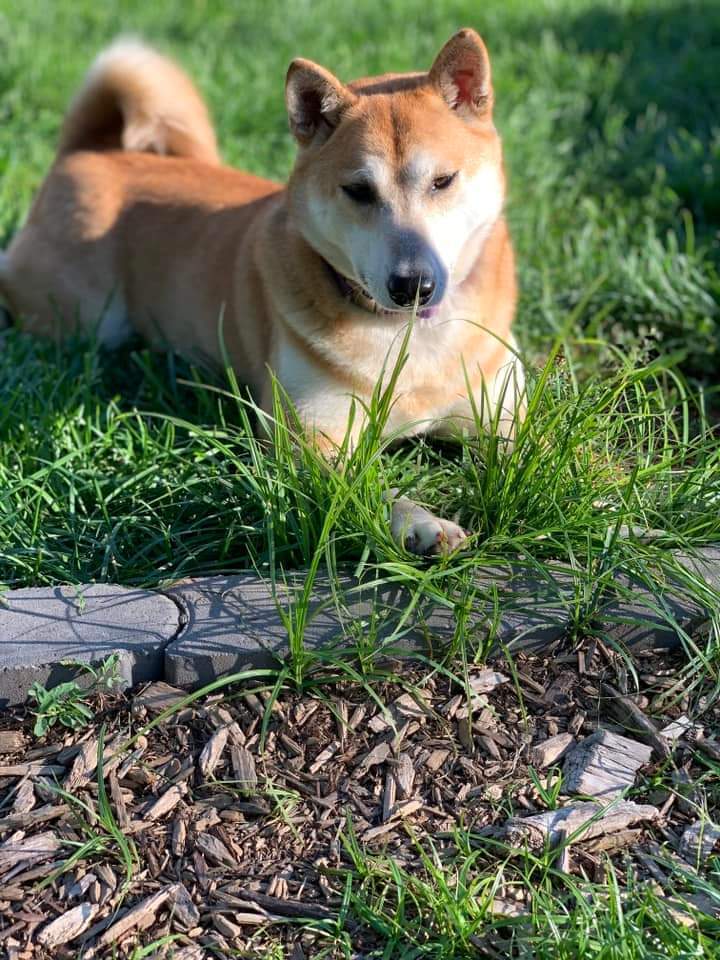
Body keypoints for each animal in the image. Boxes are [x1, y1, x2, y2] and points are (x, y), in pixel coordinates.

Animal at [0, 28, 520, 556]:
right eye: (358, 191)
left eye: (443, 180)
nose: (412, 284)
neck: (410, 337)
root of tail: (88, 152)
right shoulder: (309, 440)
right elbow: (372, 488)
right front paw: (420, 523)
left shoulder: (506, 412)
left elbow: (539, 448)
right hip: (86, 318)